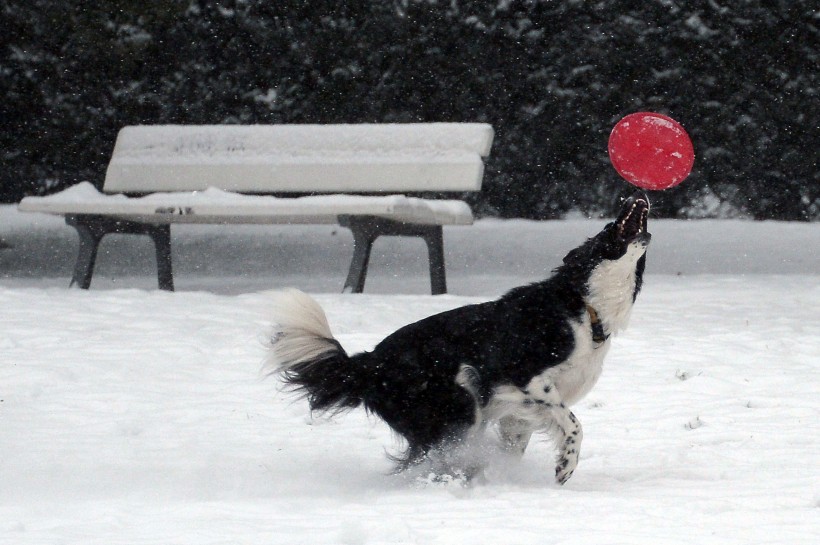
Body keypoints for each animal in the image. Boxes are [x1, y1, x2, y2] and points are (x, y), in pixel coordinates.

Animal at [266, 191, 652, 484]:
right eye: (609, 227)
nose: (635, 194)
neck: (585, 305)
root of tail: (371, 362)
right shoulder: (529, 380)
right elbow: (574, 426)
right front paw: (564, 467)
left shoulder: (519, 412)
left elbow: (517, 444)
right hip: (460, 400)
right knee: (441, 455)